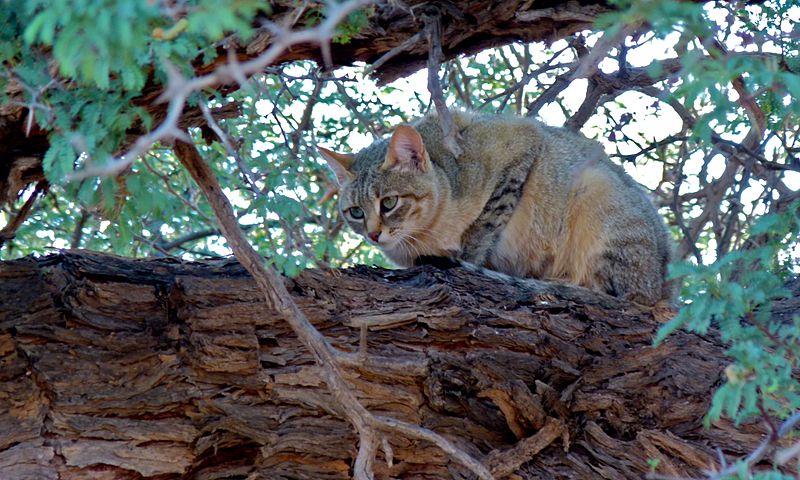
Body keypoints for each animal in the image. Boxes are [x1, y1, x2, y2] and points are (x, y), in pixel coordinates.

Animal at [318, 111, 676, 306]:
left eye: (389, 202)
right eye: (355, 212)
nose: (373, 235)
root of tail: (663, 284)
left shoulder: (521, 144)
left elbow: (486, 223)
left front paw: (467, 258)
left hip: (598, 189)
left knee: (615, 294)